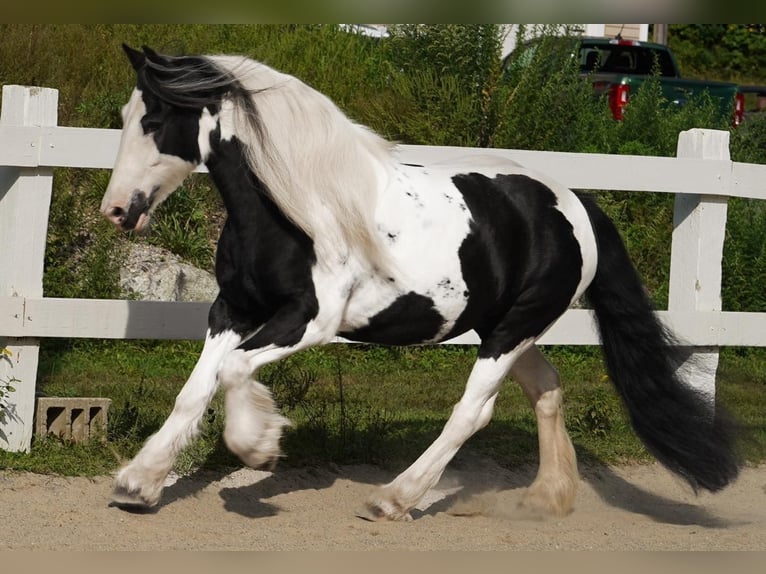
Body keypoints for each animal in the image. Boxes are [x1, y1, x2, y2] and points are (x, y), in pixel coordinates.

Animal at [99, 45, 740, 520]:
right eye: (124, 120)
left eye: (154, 121)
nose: (116, 211)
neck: (294, 208)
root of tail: (574, 204)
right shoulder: (233, 309)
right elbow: (194, 390)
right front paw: (137, 483)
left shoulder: (309, 320)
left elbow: (232, 373)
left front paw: (259, 447)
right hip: (505, 326)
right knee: (548, 388)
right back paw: (546, 498)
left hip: (512, 329)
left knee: (473, 411)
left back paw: (394, 498)